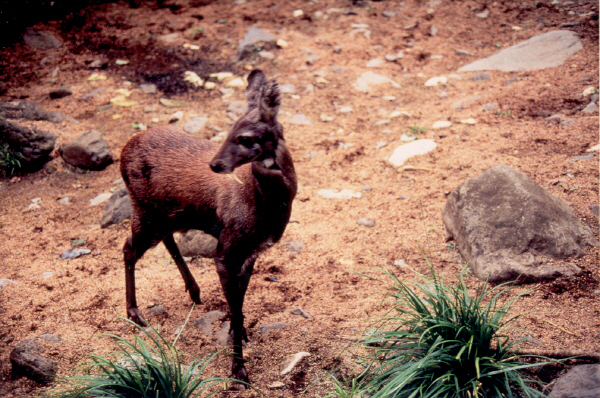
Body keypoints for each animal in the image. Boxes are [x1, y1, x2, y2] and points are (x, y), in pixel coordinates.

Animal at [118, 70, 296, 384]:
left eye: (245, 137)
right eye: (228, 130)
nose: (215, 164)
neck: (258, 203)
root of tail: (124, 149)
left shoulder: (251, 252)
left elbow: (239, 302)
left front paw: (241, 334)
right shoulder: (226, 249)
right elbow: (235, 307)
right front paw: (238, 369)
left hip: (166, 214)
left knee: (165, 240)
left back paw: (194, 290)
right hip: (144, 210)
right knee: (128, 248)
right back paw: (135, 313)